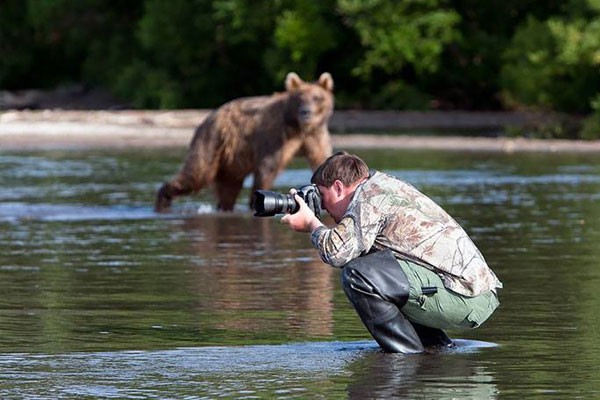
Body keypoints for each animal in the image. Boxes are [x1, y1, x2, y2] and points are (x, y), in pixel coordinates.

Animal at [154, 73, 332, 214]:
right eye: (299, 97)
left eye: (317, 97)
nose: (306, 112)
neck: (298, 127)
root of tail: (208, 117)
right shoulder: (276, 136)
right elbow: (267, 168)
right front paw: (255, 202)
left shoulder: (315, 136)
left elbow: (321, 159)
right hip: (211, 141)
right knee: (197, 174)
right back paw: (162, 201)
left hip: (231, 160)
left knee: (229, 188)